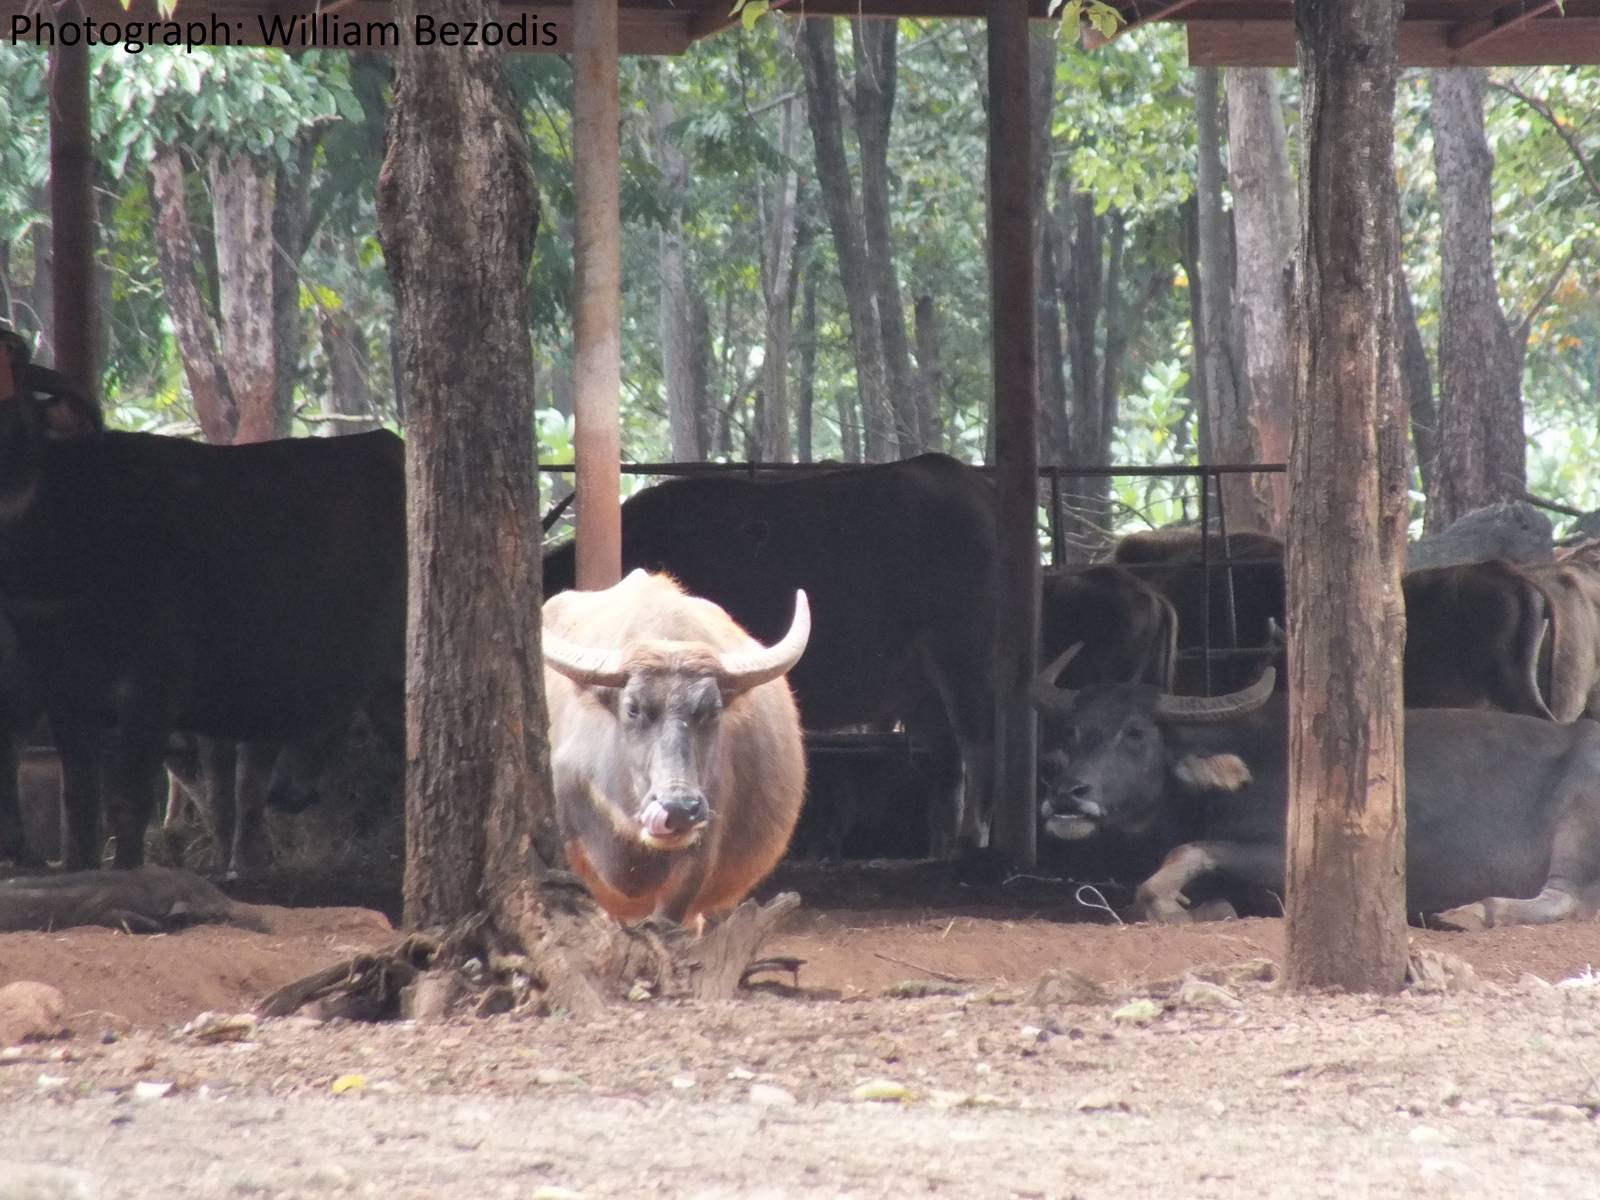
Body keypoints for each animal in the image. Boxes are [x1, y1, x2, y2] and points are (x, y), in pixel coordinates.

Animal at [1034, 647, 1600, 929]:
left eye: (1135, 733)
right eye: (1074, 732)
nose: (1066, 795)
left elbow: (1184, 854)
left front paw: (1191, 907)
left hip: (1578, 821)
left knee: (1566, 899)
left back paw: (1475, 912)